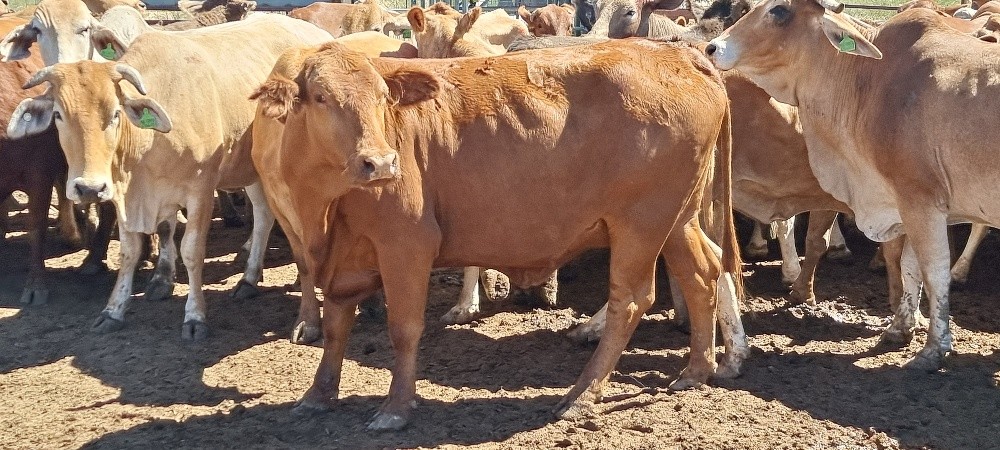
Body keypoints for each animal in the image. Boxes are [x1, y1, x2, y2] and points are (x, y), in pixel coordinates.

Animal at [6, 14, 332, 339]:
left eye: (115, 114)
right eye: (58, 115)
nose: (88, 188)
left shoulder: (200, 191)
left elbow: (191, 251)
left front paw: (195, 316)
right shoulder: (128, 194)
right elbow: (131, 250)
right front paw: (114, 310)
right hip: (251, 168)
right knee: (264, 215)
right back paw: (249, 279)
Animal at [250, 32, 415, 344]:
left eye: (383, 95)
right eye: (320, 97)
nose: (380, 163)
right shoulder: (279, 207)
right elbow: (303, 264)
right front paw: (308, 320)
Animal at [706, 0, 1000, 371]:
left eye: (779, 10)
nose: (712, 48)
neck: (871, 82)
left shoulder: (921, 200)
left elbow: (933, 272)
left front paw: (933, 347)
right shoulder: (906, 202)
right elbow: (910, 268)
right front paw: (900, 327)